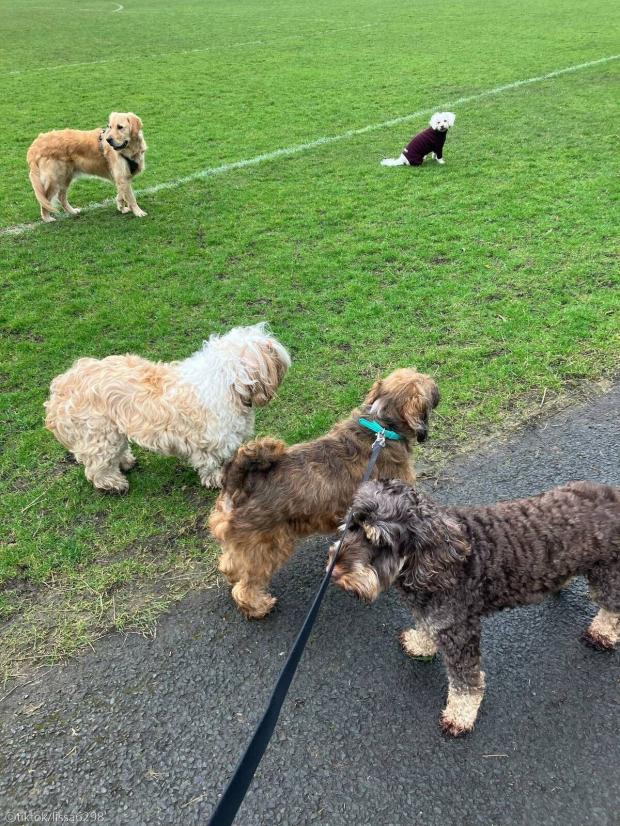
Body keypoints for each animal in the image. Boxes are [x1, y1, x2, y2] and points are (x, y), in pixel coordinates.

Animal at [44, 322, 292, 490]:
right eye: (269, 349)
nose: (282, 351)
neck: (227, 381)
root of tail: (60, 388)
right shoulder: (209, 442)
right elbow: (210, 463)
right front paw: (217, 479)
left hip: (113, 431)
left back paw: (125, 462)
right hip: (98, 434)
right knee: (97, 465)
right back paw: (112, 482)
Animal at [209, 368, 440, 616]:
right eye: (423, 380)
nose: (436, 385)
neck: (383, 428)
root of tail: (238, 482)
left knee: (229, 564)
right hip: (266, 548)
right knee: (245, 587)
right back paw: (259, 606)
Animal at [330, 476, 620, 732]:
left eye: (380, 542)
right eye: (352, 526)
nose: (334, 572)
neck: (430, 560)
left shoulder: (459, 631)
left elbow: (466, 682)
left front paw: (460, 715)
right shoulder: (433, 615)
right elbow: (425, 629)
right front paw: (419, 643)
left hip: (607, 575)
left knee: (611, 607)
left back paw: (602, 633)